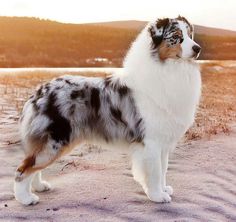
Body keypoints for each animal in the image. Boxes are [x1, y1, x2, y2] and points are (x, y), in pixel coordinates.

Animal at [13, 16, 201, 206]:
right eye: (176, 36)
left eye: (189, 34)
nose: (197, 48)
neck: (170, 69)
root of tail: (39, 92)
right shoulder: (151, 141)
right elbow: (155, 172)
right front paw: (157, 196)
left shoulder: (162, 141)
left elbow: (163, 170)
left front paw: (163, 189)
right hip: (54, 141)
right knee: (23, 169)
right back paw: (26, 198)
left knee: (33, 165)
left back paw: (39, 187)